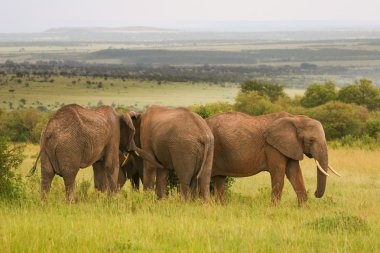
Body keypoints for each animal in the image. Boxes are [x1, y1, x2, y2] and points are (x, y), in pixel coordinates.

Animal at [28, 103, 159, 202]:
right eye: (133, 134)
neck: (119, 115)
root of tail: (49, 131)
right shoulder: (113, 136)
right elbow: (111, 165)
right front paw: (112, 200)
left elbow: (98, 167)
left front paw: (99, 199)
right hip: (68, 148)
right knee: (69, 175)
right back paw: (72, 203)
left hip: (45, 148)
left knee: (47, 175)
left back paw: (44, 203)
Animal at [206, 111, 340, 207]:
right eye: (311, 140)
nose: (316, 193)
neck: (295, 118)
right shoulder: (272, 147)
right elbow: (278, 173)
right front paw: (275, 208)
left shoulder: (291, 146)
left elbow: (294, 173)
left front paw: (303, 208)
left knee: (219, 179)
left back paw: (222, 206)